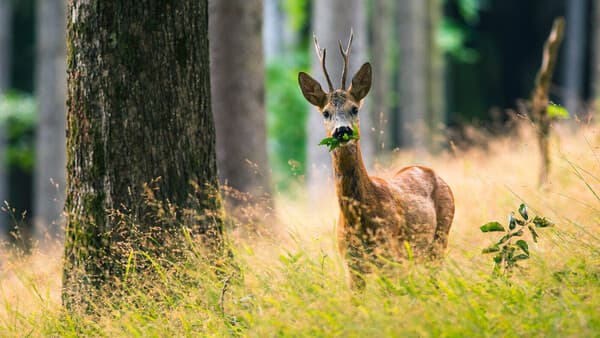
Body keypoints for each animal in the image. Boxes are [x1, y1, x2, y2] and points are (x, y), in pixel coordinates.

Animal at [298, 31, 458, 286]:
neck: (359, 219)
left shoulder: (390, 255)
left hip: (441, 235)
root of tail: (430, 171)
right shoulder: (352, 263)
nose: (342, 131)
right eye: (325, 113)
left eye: (354, 108)